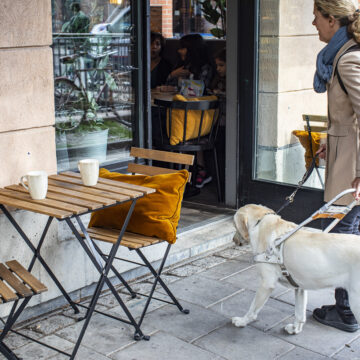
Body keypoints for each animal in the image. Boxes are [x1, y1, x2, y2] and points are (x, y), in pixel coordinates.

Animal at [232, 204, 360, 334]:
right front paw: (295, 329)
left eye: (234, 225)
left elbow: (252, 309)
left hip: (356, 301)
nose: (234, 240)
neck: (261, 222)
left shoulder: (267, 283)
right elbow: (299, 313)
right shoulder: (299, 288)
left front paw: (242, 321)